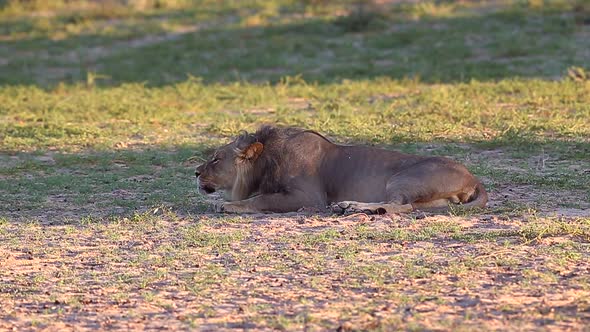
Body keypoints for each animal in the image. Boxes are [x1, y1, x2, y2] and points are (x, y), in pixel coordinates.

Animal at [197, 126, 488, 214]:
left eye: (215, 158)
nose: (196, 173)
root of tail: (473, 177)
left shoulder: (309, 197)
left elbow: (260, 199)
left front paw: (228, 205)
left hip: (403, 178)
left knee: (400, 205)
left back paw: (352, 206)